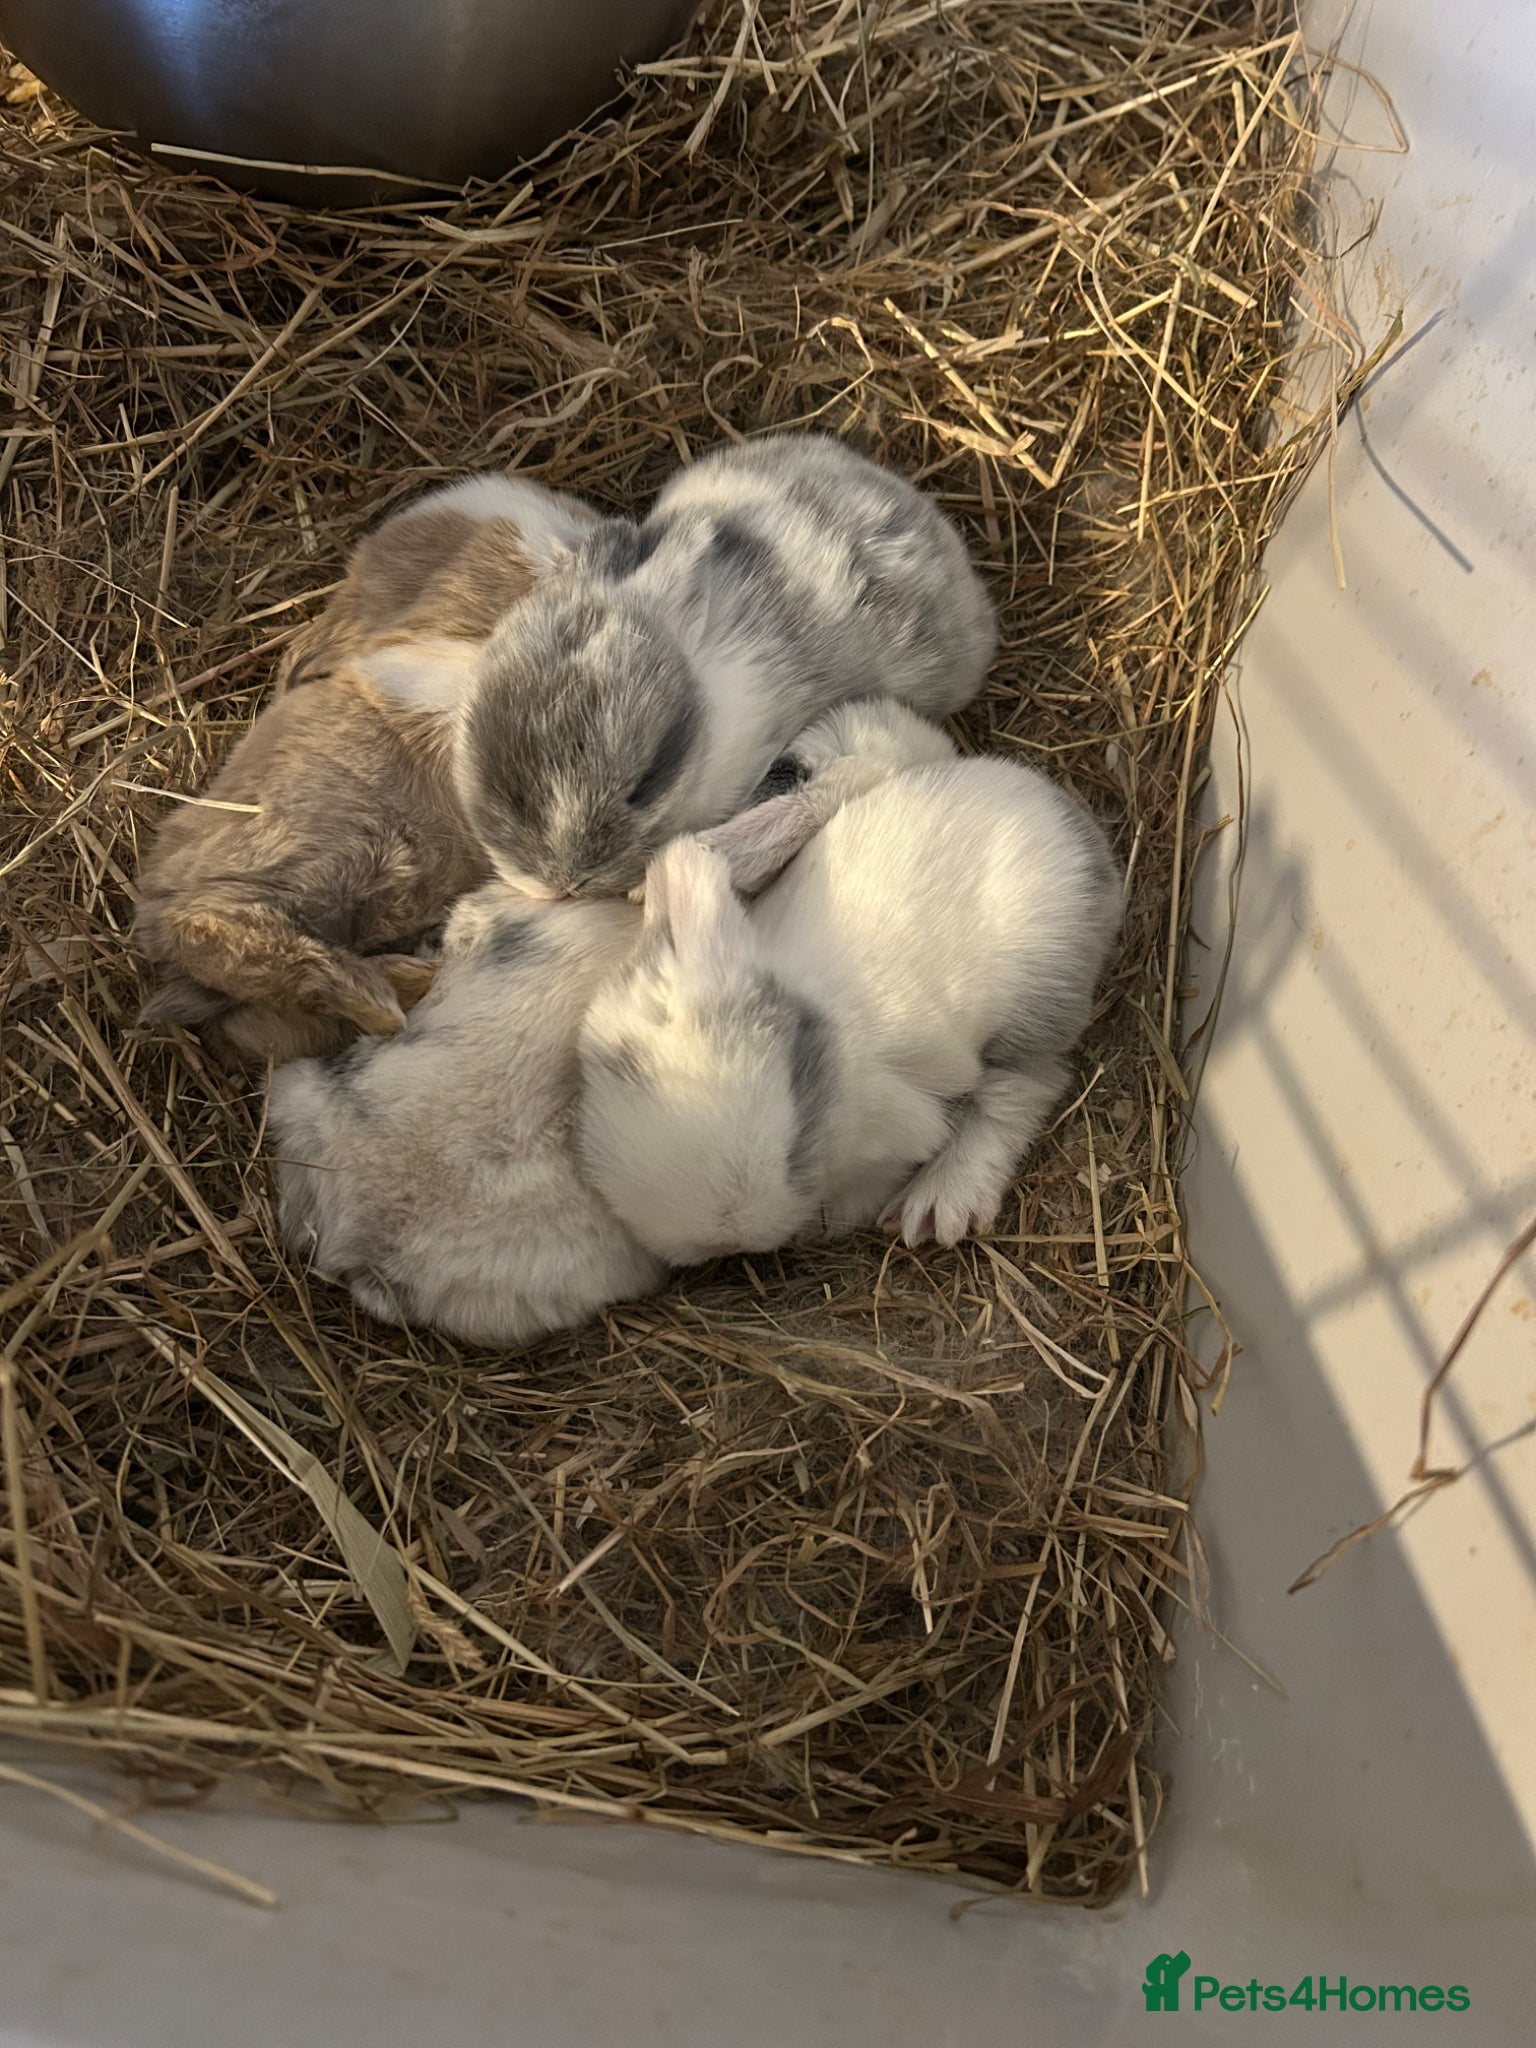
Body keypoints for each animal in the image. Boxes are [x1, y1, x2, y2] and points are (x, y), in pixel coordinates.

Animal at [578, 699, 1121, 1258]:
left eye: (797, 1141)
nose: (732, 1234)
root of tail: (1076, 829)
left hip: (1032, 1009)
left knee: (1024, 1090)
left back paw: (935, 1206)